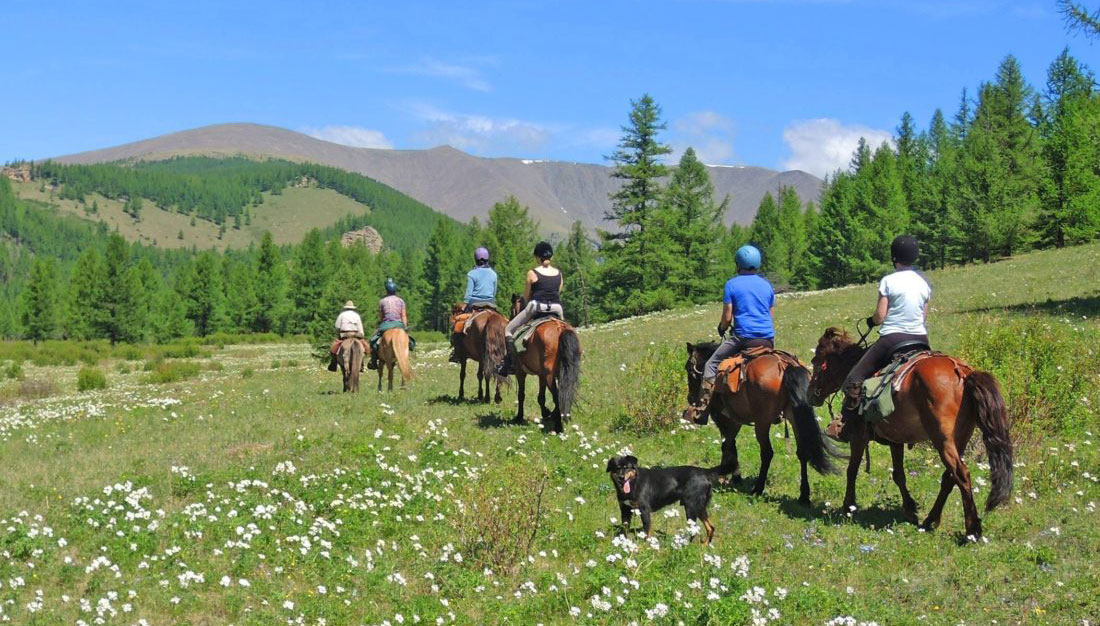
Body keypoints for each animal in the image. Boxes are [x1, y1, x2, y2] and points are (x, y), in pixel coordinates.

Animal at [508, 294, 580, 431]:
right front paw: (546, 413)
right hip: (561, 373)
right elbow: (541, 397)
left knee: (557, 396)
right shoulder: (541, 375)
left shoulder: (520, 372)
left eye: (511, 310)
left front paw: (519, 417)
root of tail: (559, 327)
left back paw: (558, 427)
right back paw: (561, 416)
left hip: (549, 376)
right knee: (566, 392)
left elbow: (521, 394)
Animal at [682, 341, 836, 503]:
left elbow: (727, 445)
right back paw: (804, 496)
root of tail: (785, 365)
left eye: (688, 368)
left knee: (767, 452)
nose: (690, 398)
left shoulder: (723, 418)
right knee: (802, 453)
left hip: (763, 422)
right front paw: (733, 475)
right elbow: (731, 445)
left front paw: (728, 474)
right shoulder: (735, 420)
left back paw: (758, 488)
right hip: (794, 416)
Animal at [809, 327, 1012, 536]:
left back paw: (972, 530)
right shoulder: (895, 438)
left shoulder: (859, 437)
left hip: (943, 440)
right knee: (949, 477)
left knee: (961, 474)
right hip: (961, 438)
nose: (810, 394)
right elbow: (899, 474)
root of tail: (963, 374)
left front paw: (849, 506)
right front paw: (909, 509)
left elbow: (852, 470)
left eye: (816, 362)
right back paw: (931, 520)